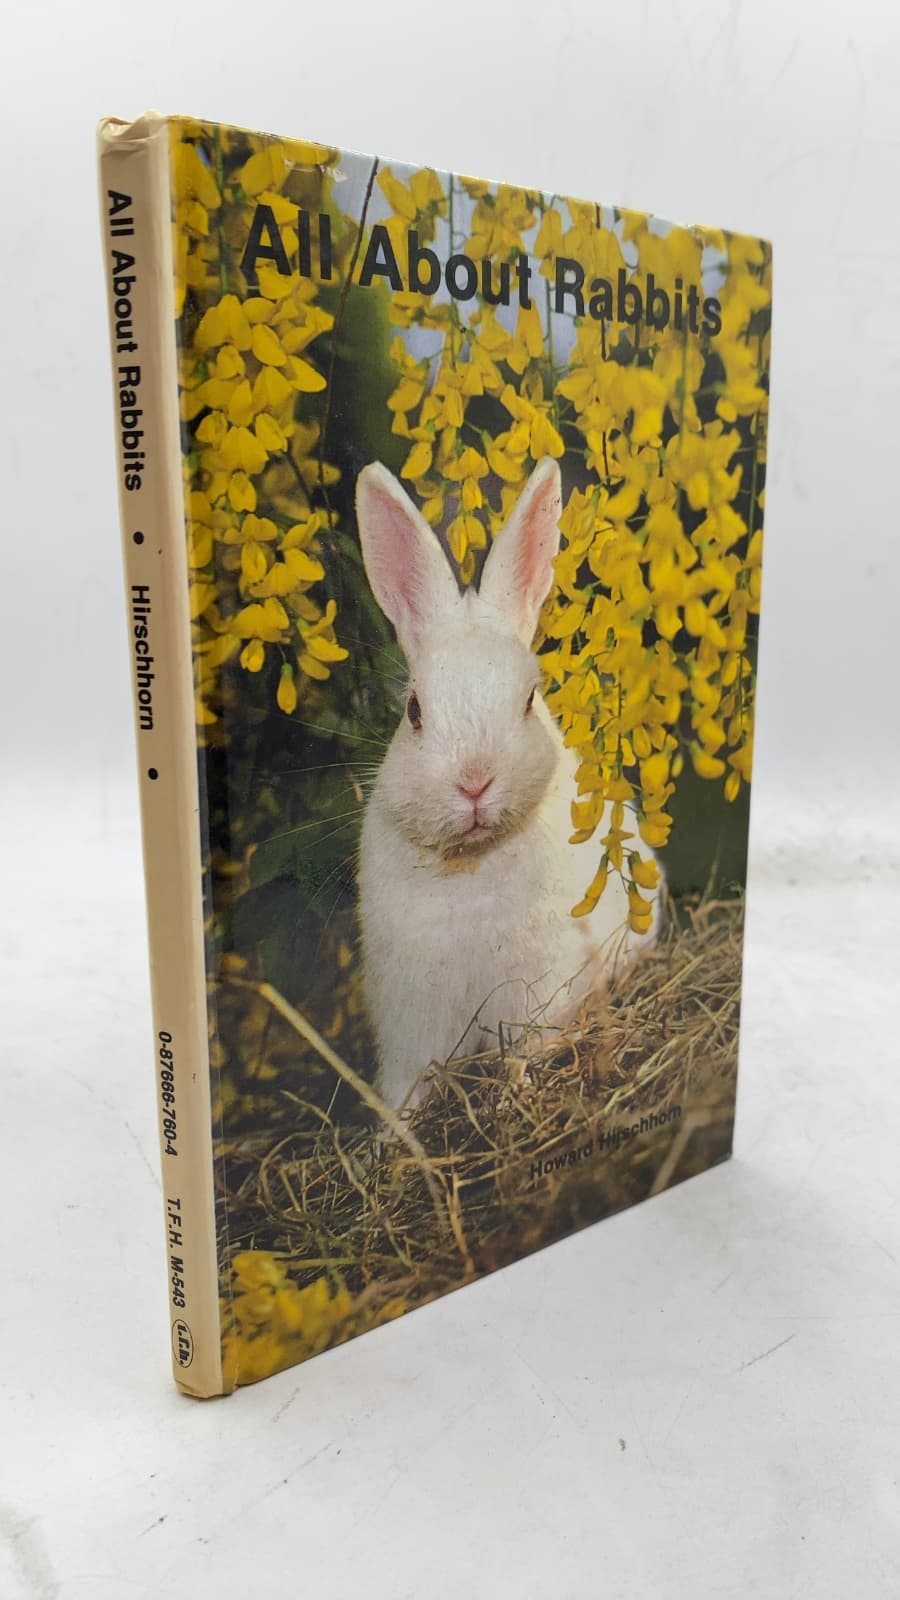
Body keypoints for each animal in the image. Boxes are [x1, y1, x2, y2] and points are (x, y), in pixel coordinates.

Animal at [355, 456, 663, 1111]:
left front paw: (517, 1084)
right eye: (414, 711)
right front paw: (395, 1134)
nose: (475, 782)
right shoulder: (410, 1017)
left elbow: (527, 1047)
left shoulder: (540, 986)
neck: (472, 860)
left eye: (528, 700)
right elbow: (406, 1090)